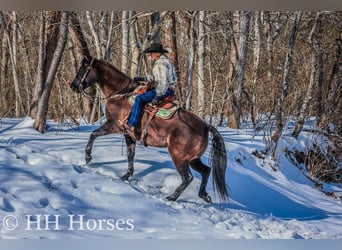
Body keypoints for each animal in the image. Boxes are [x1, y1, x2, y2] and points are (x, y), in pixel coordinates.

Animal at [69, 56, 228, 203]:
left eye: (83, 69)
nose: (73, 85)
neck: (120, 94)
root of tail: (205, 126)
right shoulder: (129, 134)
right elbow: (130, 154)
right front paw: (126, 176)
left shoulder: (115, 125)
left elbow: (93, 134)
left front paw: (88, 157)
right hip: (193, 159)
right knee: (206, 171)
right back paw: (204, 195)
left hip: (179, 157)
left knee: (187, 177)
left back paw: (171, 197)